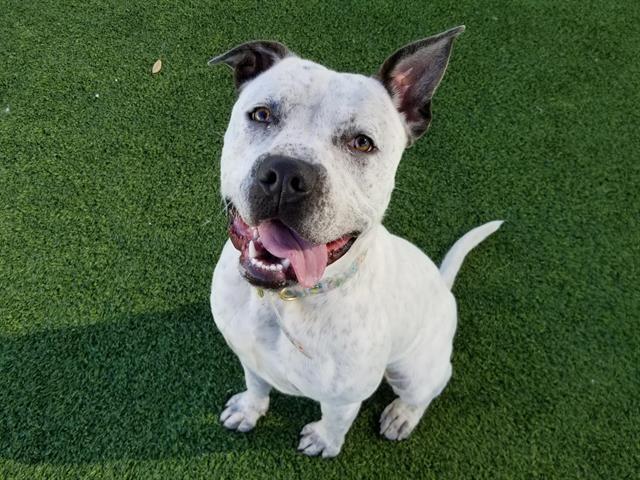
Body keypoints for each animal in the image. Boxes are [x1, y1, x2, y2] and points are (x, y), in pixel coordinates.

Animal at [208, 27, 502, 458]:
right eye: (262, 114)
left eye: (362, 143)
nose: (285, 174)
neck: (286, 303)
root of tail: (443, 287)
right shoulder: (250, 357)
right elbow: (256, 385)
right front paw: (249, 409)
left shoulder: (344, 398)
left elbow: (335, 421)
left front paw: (324, 441)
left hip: (413, 369)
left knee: (428, 387)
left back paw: (402, 415)